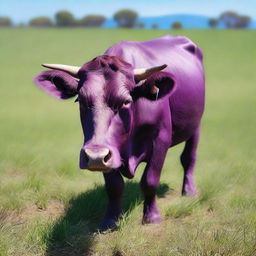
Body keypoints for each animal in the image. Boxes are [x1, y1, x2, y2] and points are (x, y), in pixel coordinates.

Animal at [35, 34, 205, 230]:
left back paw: (189, 191)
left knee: (188, 158)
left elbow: (150, 180)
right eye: (81, 100)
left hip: (196, 125)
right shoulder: (109, 151)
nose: (94, 156)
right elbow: (114, 186)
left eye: (125, 101)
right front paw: (111, 220)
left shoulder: (161, 139)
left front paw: (152, 217)